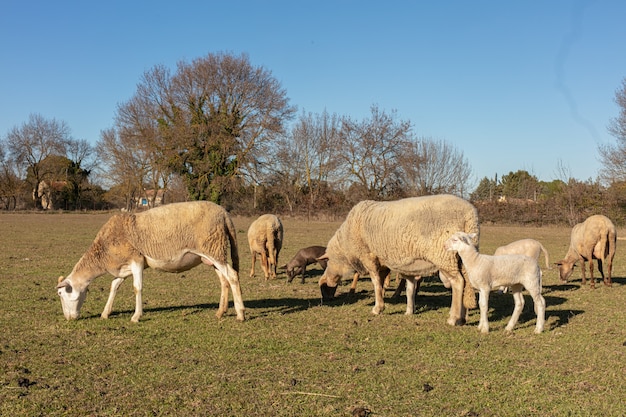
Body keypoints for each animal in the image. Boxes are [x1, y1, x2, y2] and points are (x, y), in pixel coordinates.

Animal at [55, 201, 244, 322]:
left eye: (61, 294)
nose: (69, 319)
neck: (102, 253)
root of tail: (224, 213)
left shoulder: (137, 260)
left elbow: (137, 288)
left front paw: (136, 317)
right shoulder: (124, 267)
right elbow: (114, 286)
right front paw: (105, 313)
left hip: (213, 248)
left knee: (232, 276)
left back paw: (240, 314)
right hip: (213, 252)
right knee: (224, 280)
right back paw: (220, 312)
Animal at [316, 193, 478, 326]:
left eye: (324, 288)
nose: (326, 300)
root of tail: (470, 214)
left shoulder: (369, 257)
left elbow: (376, 283)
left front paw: (378, 308)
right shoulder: (389, 263)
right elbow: (406, 287)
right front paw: (408, 310)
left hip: (444, 256)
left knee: (458, 282)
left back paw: (453, 318)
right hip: (460, 258)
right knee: (466, 283)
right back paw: (462, 318)